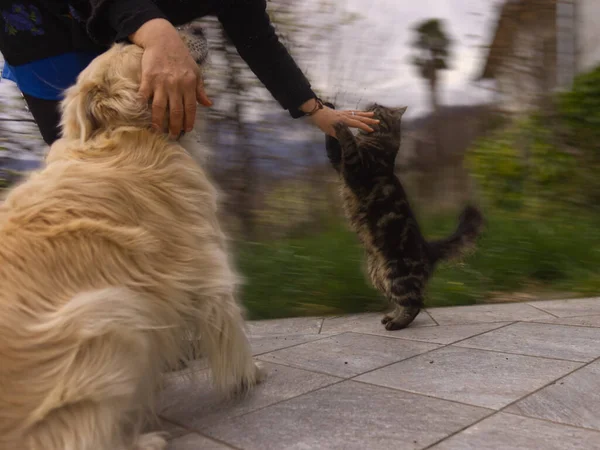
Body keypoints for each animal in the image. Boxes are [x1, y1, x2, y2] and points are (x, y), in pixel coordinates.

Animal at [324, 103, 482, 330]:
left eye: (377, 109)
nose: (370, 105)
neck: (376, 141)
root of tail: (428, 248)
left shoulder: (356, 169)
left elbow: (348, 143)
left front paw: (341, 124)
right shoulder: (340, 163)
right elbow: (332, 144)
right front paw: (329, 108)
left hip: (397, 273)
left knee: (415, 303)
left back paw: (397, 323)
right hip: (379, 275)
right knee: (400, 300)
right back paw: (391, 317)